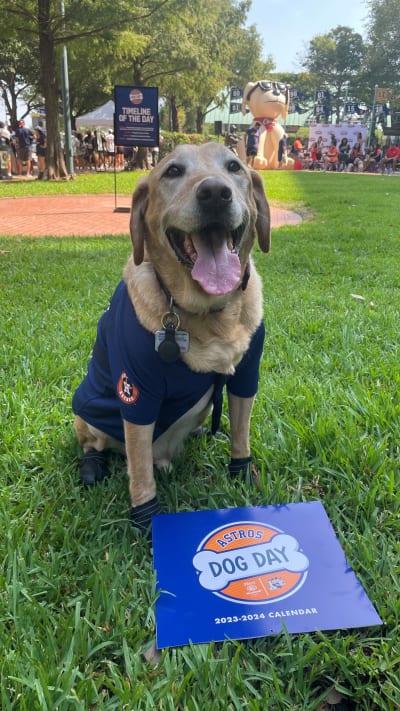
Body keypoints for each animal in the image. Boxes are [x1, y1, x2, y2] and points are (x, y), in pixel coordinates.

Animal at [73, 142, 270, 536]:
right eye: (173, 171)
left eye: (234, 167)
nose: (215, 193)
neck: (208, 312)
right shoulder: (137, 392)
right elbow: (140, 474)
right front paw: (146, 519)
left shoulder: (245, 376)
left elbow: (241, 435)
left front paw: (242, 473)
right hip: (84, 411)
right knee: (95, 444)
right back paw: (92, 466)